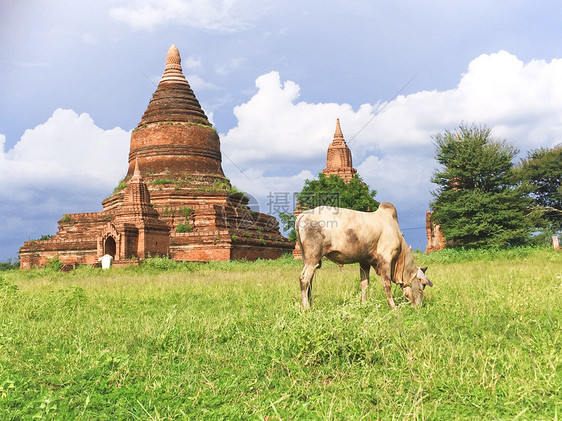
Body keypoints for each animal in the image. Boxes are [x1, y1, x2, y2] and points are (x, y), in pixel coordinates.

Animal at [296, 203, 430, 308]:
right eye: (421, 288)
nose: (419, 307)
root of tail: (304, 214)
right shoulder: (386, 259)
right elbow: (387, 285)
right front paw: (393, 306)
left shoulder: (364, 262)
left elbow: (364, 284)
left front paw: (364, 304)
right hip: (313, 257)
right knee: (304, 279)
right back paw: (306, 308)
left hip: (308, 260)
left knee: (309, 281)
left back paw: (310, 305)